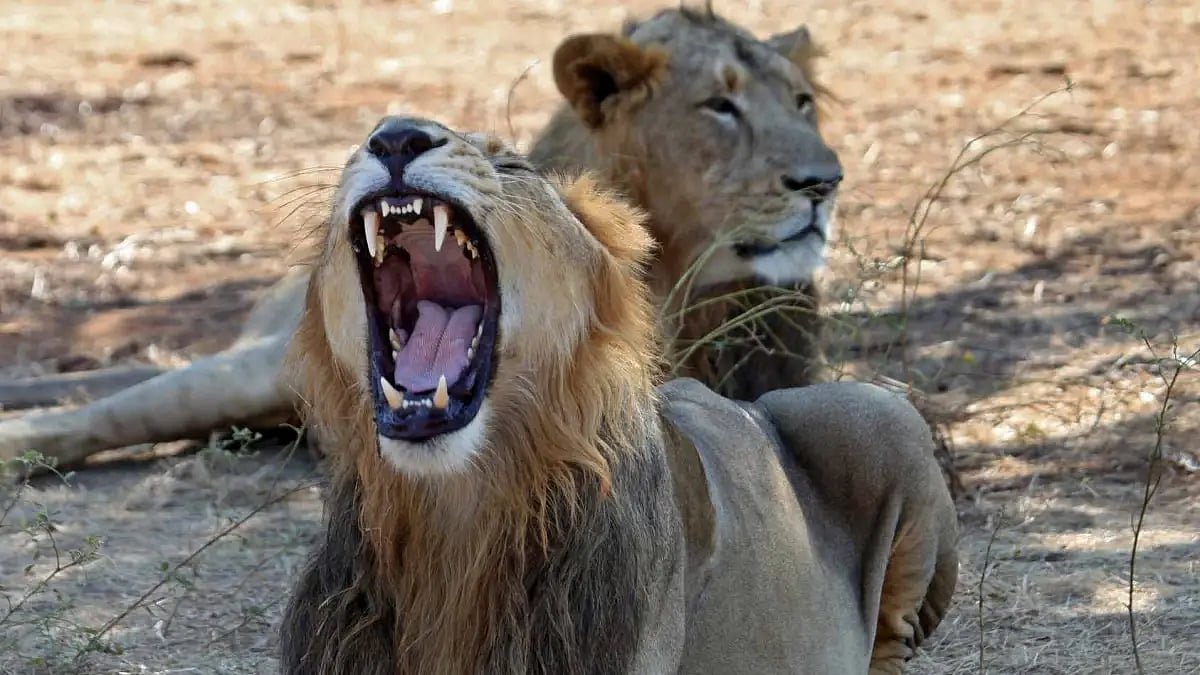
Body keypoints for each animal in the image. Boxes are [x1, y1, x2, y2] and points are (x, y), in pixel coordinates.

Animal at [1, 8, 842, 467]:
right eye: (719, 106)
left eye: (802, 101)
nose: (824, 182)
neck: (678, 270)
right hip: (248, 374)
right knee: (99, 412)